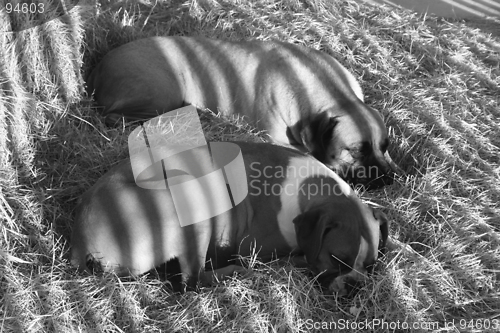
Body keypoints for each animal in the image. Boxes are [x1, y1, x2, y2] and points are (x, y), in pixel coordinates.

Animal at [87, 37, 398, 187]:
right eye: (355, 151)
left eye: (385, 146)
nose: (388, 177)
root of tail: (98, 69)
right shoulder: (280, 139)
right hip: (163, 93)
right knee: (116, 117)